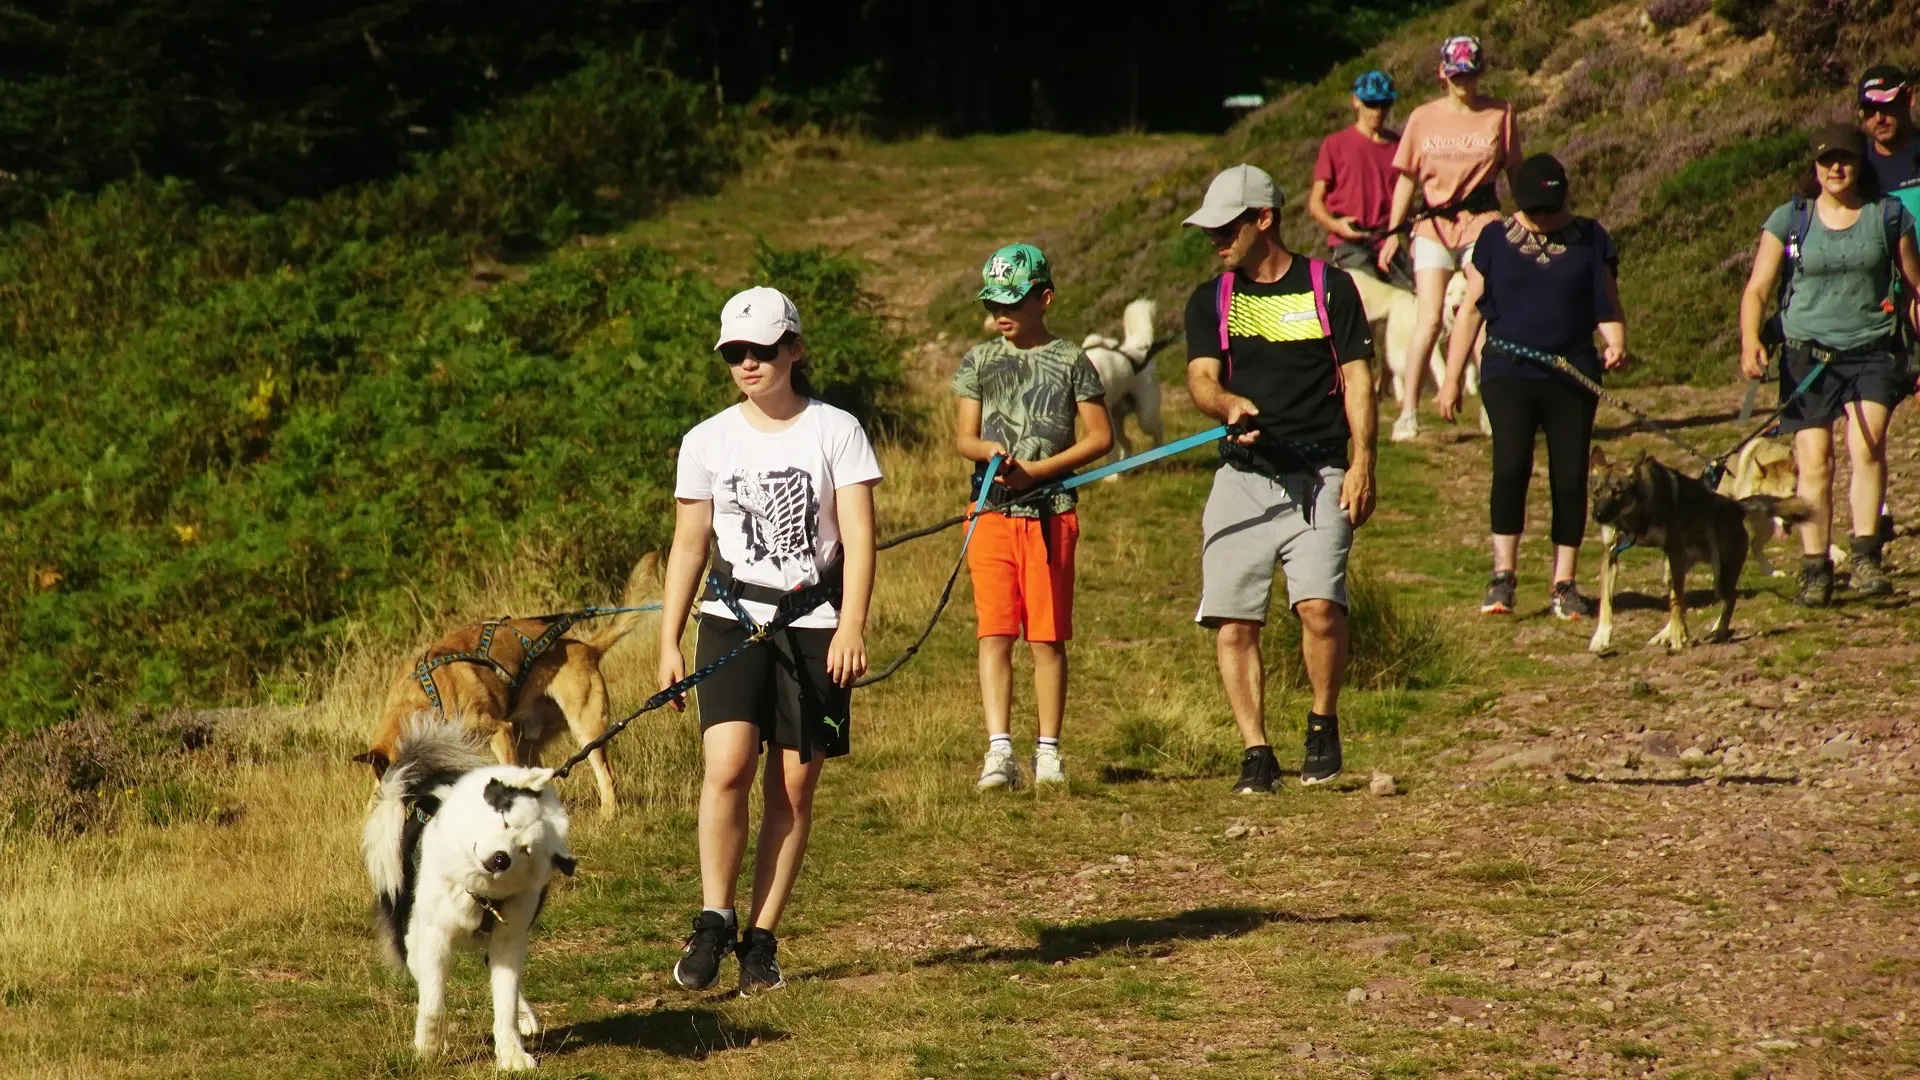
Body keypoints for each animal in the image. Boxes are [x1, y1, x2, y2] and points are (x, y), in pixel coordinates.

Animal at [359, 714, 568, 1068]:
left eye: (526, 850)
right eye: (505, 819)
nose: (500, 859)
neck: (478, 893)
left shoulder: (509, 938)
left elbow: (505, 1001)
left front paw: (512, 1055)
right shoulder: (433, 937)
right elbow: (432, 1002)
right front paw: (429, 1049)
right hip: (408, 928)